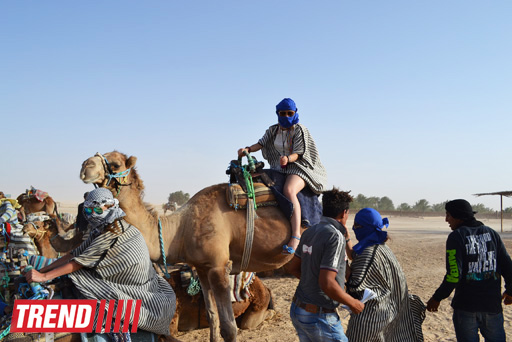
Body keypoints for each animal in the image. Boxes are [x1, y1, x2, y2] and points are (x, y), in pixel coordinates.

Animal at [79, 152, 296, 342]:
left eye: (115, 164)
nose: (85, 166)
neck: (180, 229)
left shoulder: (218, 266)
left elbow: (229, 328)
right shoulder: (202, 268)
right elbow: (212, 316)